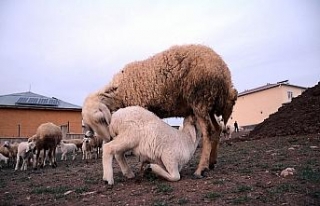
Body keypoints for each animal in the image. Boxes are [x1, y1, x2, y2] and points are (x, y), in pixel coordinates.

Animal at [82, 44, 238, 178]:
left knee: (208, 132)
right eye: (91, 126)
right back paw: (212, 162)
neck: (118, 93)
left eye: (101, 119)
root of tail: (225, 73)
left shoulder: (142, 106)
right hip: (208, 105)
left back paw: (201, 168)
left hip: (200, 99)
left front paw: (144, 164)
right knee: (217, 129)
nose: (108, 138)